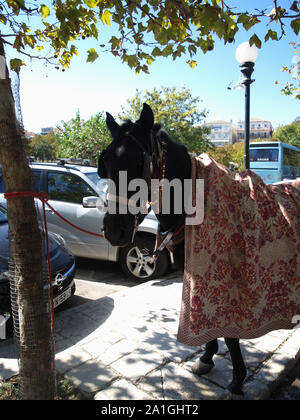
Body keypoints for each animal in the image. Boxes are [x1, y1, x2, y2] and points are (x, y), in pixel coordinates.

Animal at [98, 102, 246, 398]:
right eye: (105, 163)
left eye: (139, 162)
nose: (114, 229)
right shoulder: (193, 268)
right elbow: (200, 310)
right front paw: (207, 356)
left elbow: (227, 326)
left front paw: (237, 377)